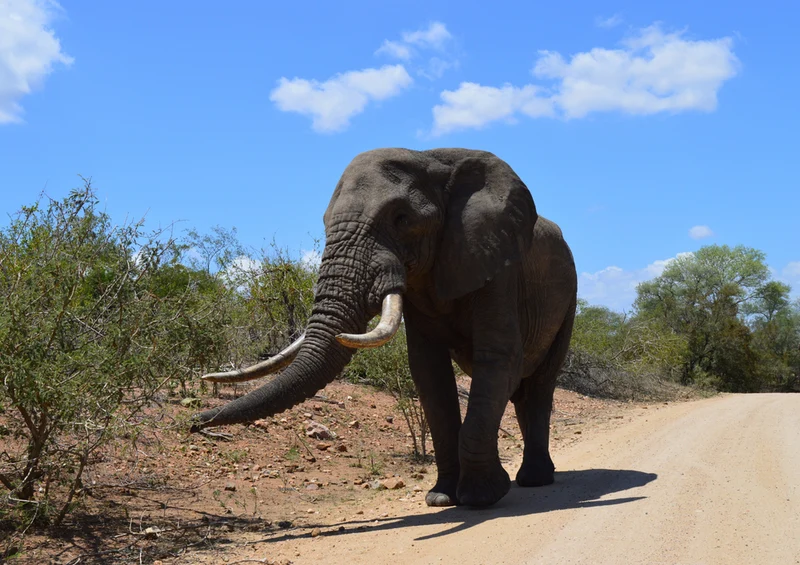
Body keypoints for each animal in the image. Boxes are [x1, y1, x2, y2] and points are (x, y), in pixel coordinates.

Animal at [191, 148, 577, 508]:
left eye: (401, 218)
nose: (194, 421)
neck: (433, 161)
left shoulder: (496, 267)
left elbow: (498, 360)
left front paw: (481, 498)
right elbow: (428, 373)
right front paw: (441, 498)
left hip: (568, 298)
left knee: (538, 386)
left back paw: (534, 480)